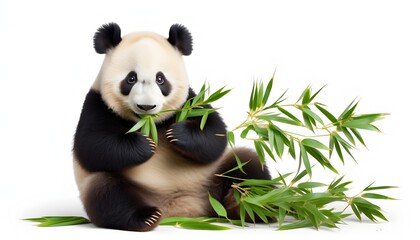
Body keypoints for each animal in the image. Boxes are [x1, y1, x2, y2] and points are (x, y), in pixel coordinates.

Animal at [72, 23, 272, 232]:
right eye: (131, 79)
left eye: (160, 79)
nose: (146, 106)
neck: (150, 123)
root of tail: (180, 209)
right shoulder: (97, 104)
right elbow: (92, 146)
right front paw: (146, 145)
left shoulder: (190, 102)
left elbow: (214, 134)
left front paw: (178, 135)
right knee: (106, 191)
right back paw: (146, 217)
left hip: (214, 174)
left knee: (247, 165)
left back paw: (254, 205)